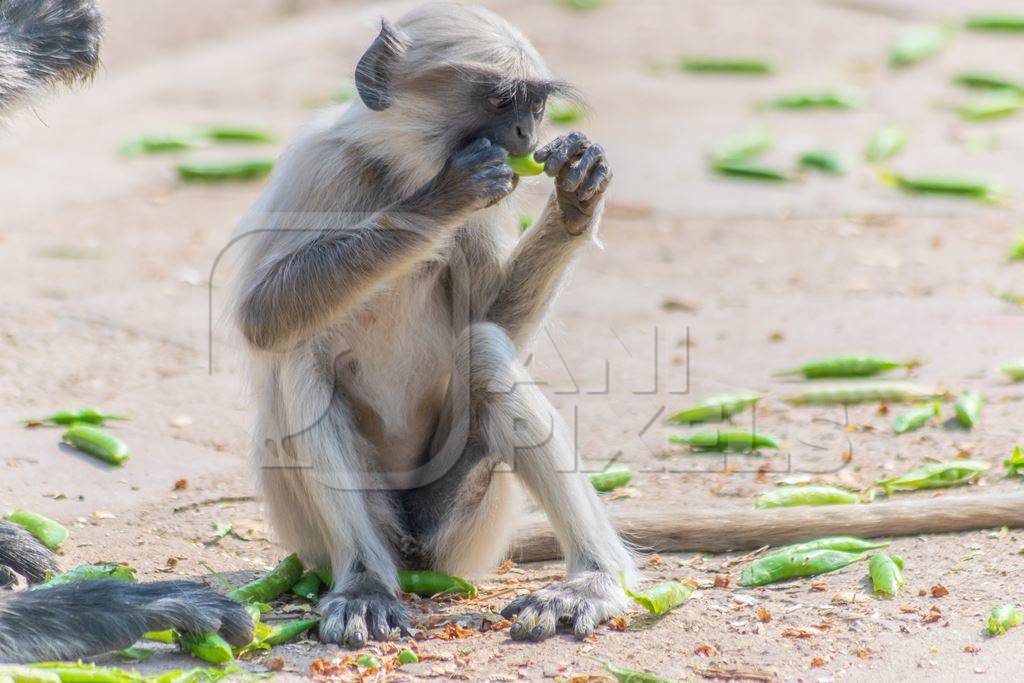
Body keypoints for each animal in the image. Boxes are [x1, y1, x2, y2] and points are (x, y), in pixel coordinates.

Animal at [233, 2, 634, 643]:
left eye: (535, 107)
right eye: (501, 101)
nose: (526, 138)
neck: (400, 172)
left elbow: (489, 323)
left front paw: (578, 194)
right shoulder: (321, 164)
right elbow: (263, 319)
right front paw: (447, 195)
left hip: (465, 522)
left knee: (485, 353)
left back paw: (588, 584)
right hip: (317, 526)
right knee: (300, 357)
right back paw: (366, 585)